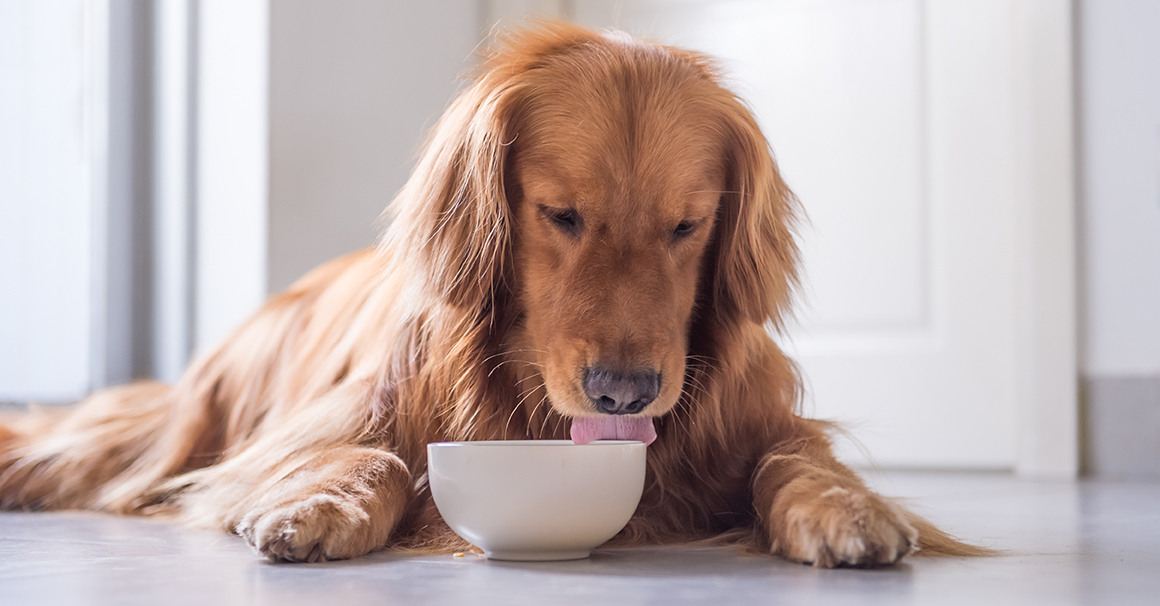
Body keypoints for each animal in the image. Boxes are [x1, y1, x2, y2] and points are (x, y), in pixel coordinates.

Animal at [0, 21, 983, 564]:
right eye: (561, 214)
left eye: (687, 226)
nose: (623, 394)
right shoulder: (327, 425)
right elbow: (373, 456)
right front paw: (320, 508)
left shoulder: (763, 423)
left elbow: (796, 460)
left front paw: (849, 510)